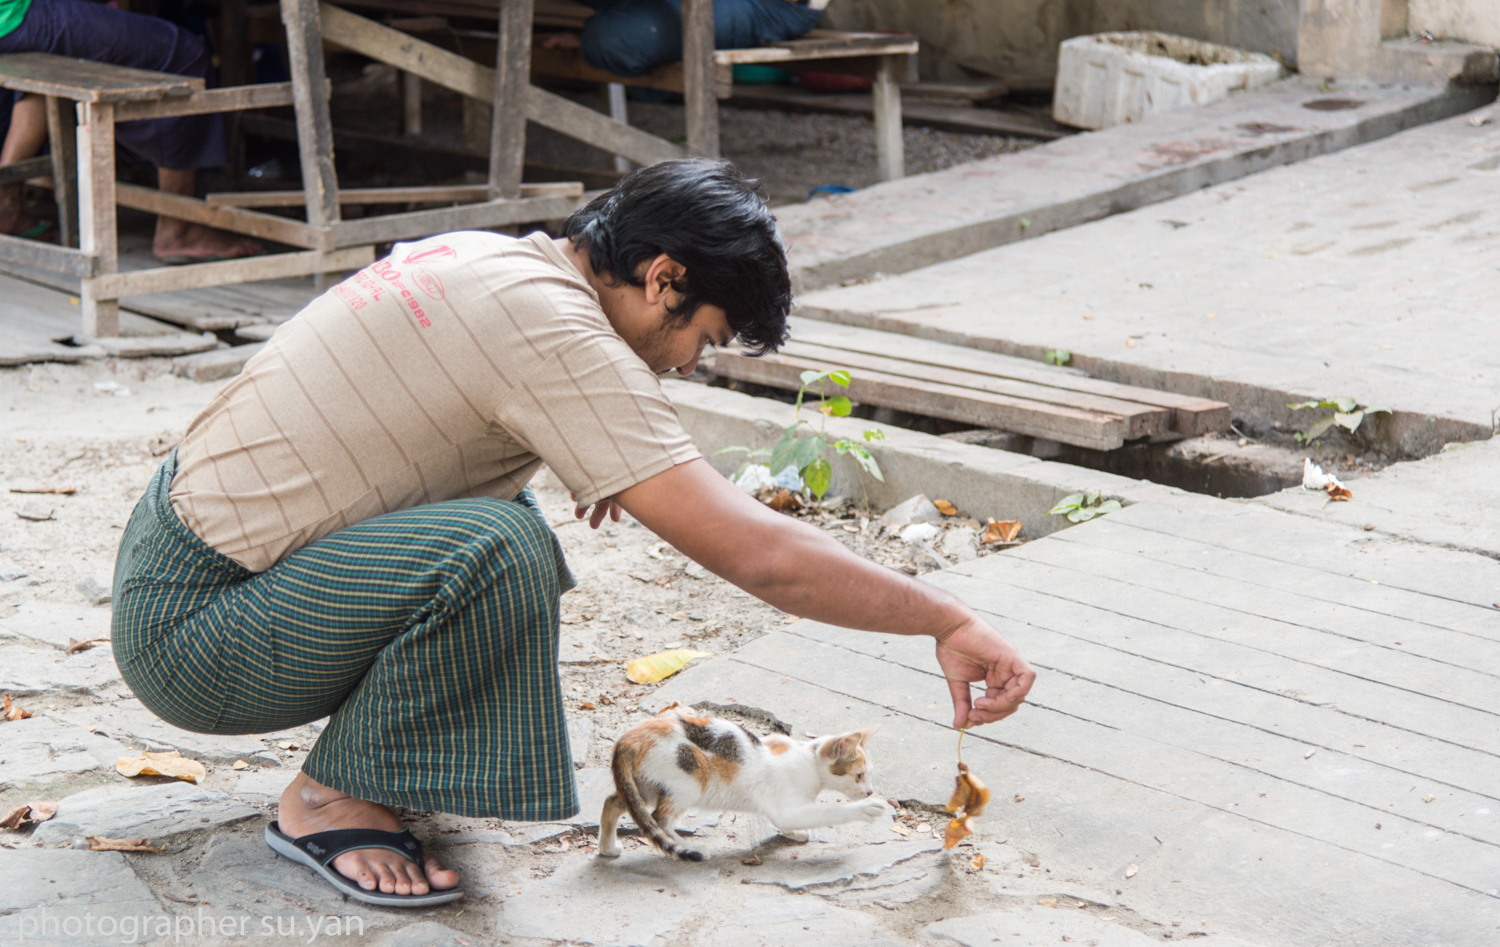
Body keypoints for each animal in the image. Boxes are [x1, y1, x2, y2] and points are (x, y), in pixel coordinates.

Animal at [594, 708, 882, 864]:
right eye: (858, 775)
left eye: (868, 775)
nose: (868, 791)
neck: (808, 760)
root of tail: (629, 738)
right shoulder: (787, 807)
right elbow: (826, 812)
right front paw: (867, 808)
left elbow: (792, 820)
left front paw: (796, 833)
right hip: (691, 780)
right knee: (659, 820)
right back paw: (691, 848)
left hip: (641, 787)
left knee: (614, 802)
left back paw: (607, 849)